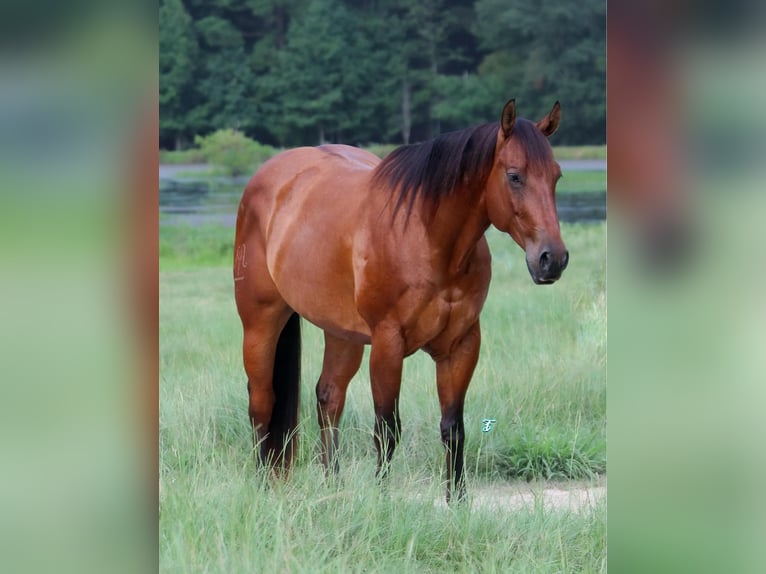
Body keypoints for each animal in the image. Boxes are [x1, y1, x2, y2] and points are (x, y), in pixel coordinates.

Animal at [234, 98, 568, 500]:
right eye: (515, 176)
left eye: (556, 176)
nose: (552, 259)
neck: (427, 237)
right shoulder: (388, 344)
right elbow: (387, 428)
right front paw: (382, 499)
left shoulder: (462, 345)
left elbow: (453, 428)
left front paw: (458, 501)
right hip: (261, 322)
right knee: (261, 402)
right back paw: (262, 486)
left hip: (342, 334)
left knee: (328, 397)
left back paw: (334, 488)